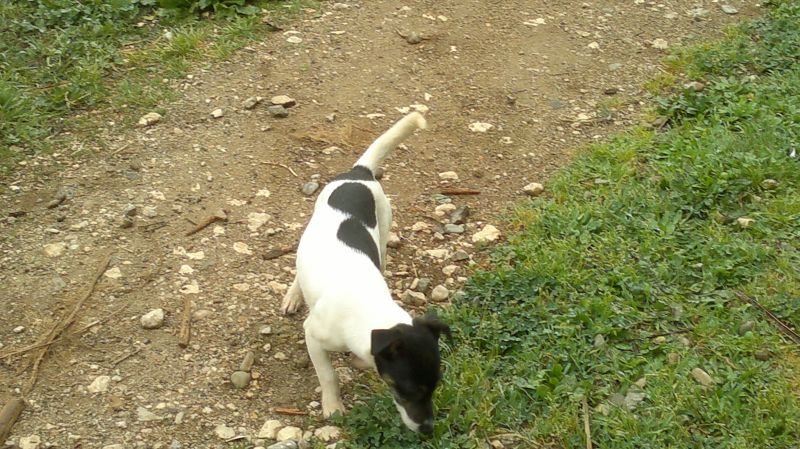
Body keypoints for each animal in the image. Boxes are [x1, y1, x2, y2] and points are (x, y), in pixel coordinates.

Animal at [280, 112, 450, 434]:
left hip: (383, 230)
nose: (428, 430)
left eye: (436, 387)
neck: (366, 306)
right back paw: (293, 296)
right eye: (407, 391)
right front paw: (333, 406)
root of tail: (360, 173)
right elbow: (329, 376)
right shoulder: (313, 337)